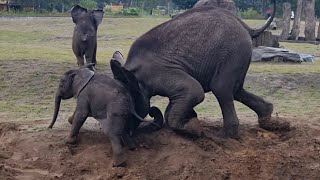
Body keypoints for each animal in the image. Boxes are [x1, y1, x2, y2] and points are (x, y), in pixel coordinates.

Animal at [111, 0, 288, 139]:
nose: (128, 134)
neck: (131, 71)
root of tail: (246, 27)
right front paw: (191, 118)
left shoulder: (158, 72)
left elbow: (195, 91)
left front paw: (195, 129)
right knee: (236, 90)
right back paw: (268, 120)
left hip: (233, 51)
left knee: (221, 88)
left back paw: (224, 137)